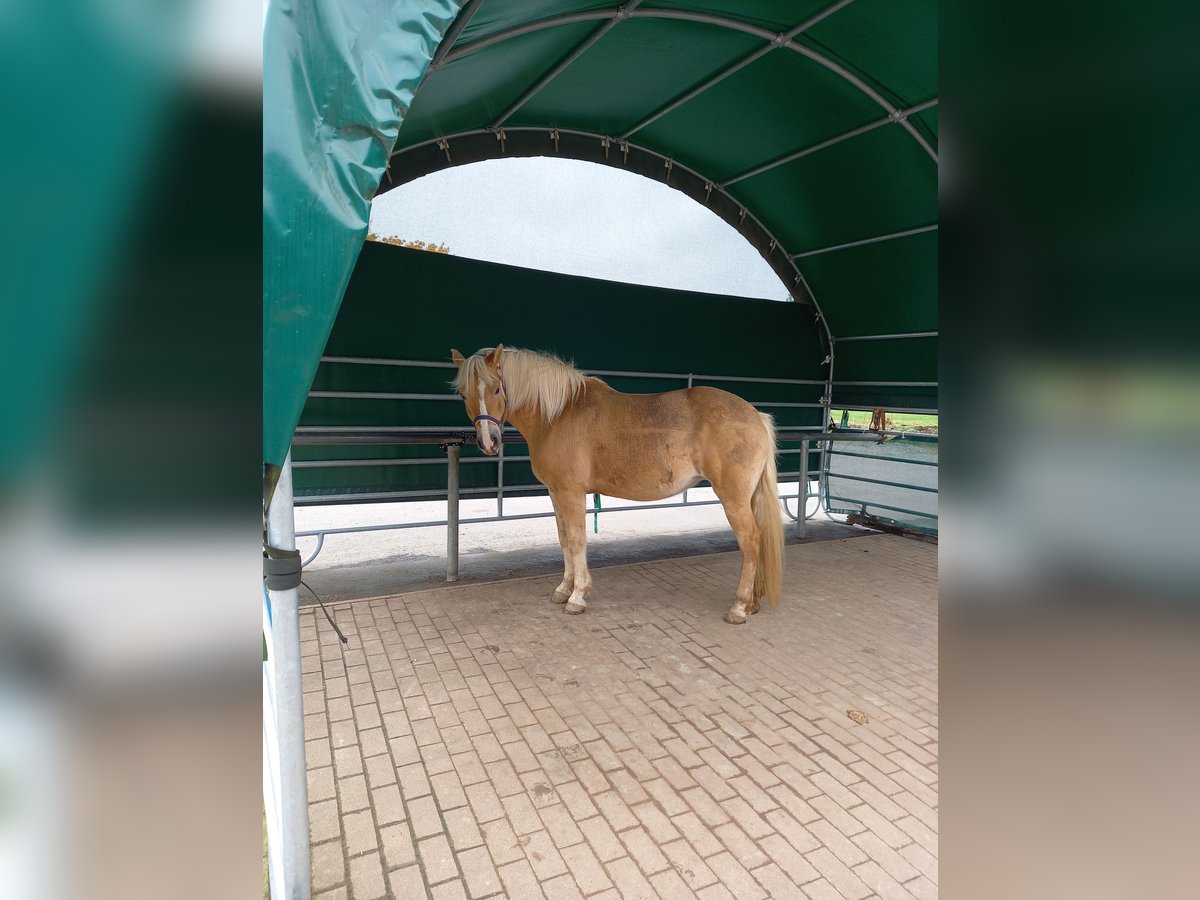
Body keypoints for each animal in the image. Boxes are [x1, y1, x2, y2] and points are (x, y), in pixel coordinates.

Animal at [446, 348, 782, 628]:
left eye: (497, 388)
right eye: (463, 394)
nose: (488, 442)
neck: (558, 414)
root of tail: (755, 415)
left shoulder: (571, 492)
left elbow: (578, 541)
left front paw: (577, 597)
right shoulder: (555, 492)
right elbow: (564, 540)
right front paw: (563, 589)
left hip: (733, 499)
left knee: (751, 542)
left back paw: (739, 608)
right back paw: (752, 604)